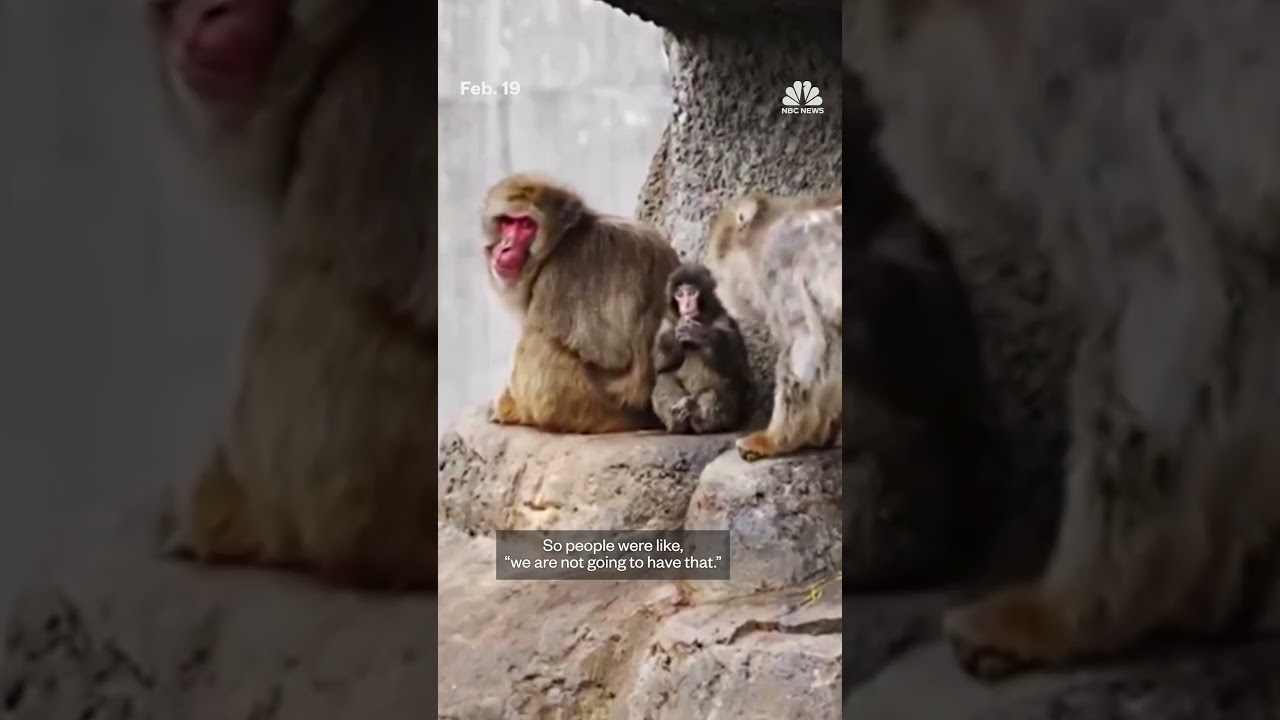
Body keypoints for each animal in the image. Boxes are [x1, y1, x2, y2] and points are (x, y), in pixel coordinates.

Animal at [482, 173, 681, 434]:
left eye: (526, 225)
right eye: (507, 222)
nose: (505, 248)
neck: (562, 241)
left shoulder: (556, 279)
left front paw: (509, 403)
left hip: (596, 406)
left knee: (537, 339)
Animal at [650, 263, 752, 434]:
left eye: (691, 293)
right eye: (679, 294)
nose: (685, 305)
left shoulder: (724, 320)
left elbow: (738, 370)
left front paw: (699, 334)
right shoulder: (666, 322)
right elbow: (661, 367)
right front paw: (676, 335)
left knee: (725, 384)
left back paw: (699, 415)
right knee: (665, 378)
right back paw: (678, 421)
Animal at [705, 191, 844, 461]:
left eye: (720, 268)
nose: (718, 289)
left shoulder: (779, 264)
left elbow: (806, 339)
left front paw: (775, 440)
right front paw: (826, 429)